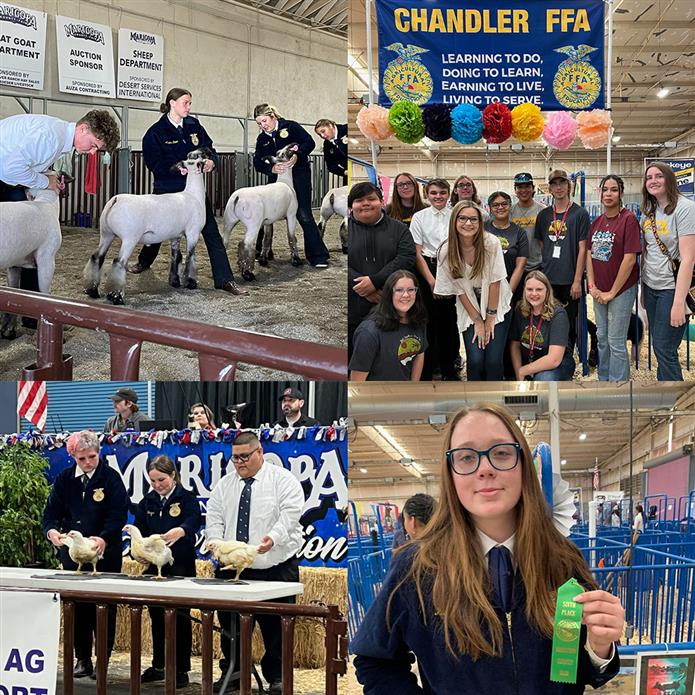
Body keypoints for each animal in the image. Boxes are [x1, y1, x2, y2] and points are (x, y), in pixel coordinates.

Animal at [0, 188, 62, 340]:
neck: (47, 202)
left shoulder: (14, 263)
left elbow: (14, 294)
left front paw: (8, 330)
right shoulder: (47, 258)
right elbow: (45, 294)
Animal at [82, 148, 209, 304]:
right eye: (198, 157)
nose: (205, 149)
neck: (193, 195)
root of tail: (115, 200)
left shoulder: (175, 236)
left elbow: (176, 257)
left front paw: (175, 282)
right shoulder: (193, 233)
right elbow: (190, 257)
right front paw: (190, 282)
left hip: (106, 234)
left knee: (96, 257)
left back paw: (92, 291)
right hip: (130, 238)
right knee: (119, 262)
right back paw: (116, 297)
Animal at [222, 143, 300, 282]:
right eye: (282, 154)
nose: (292, 144)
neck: (285, 182)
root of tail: (237, 197)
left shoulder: (268, 221)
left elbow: (267, 239)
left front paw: (263, 259)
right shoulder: (291, 215)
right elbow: (291, 237)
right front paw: (295, 260)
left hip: (229, 220)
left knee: (224, 241)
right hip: (253, 224)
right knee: (245, 244)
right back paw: (247, 273)